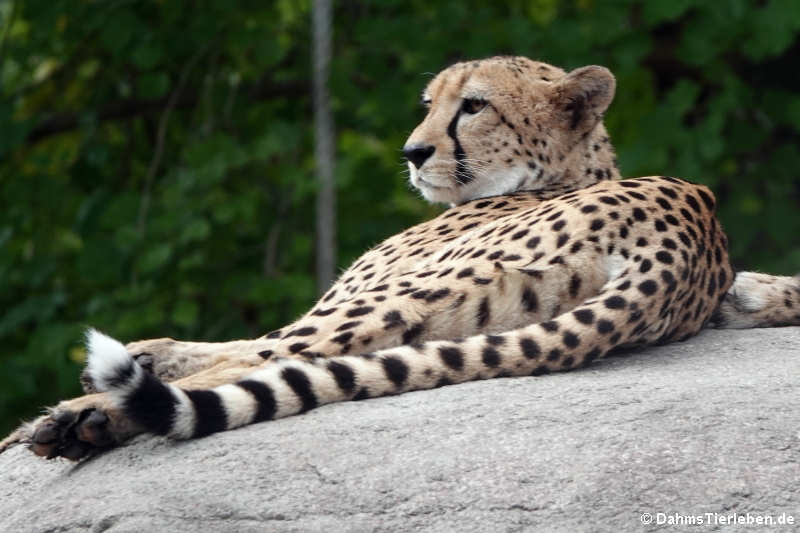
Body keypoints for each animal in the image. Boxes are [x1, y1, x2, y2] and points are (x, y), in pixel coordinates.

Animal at [3, 56, 796, 460]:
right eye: (428, 102)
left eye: (473, 105)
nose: (413, 151)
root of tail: (686, 230)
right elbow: (227, 345)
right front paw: (149, 350)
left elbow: (245, 351)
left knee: (277, 358)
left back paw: (77, 418)